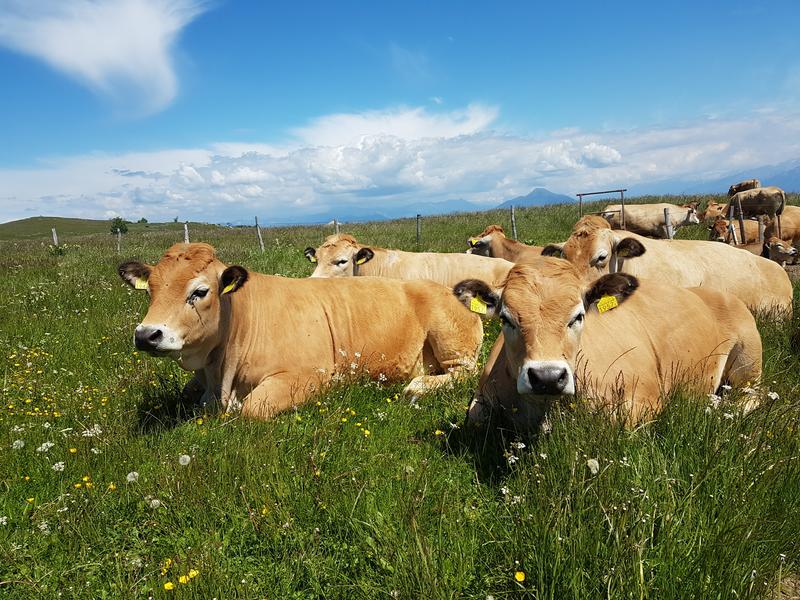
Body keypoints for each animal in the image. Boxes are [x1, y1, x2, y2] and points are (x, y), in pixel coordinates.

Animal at [118, 243, 483, 419]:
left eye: (200, 291)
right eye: (151, 290)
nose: (147, 335)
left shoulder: (308, 376)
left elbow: (253, 409)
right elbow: (186, 395)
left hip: (452, 344)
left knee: (462, 373)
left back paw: (418, 386)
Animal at [453, 258, 762, 432]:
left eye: (578, 316)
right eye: (506, 318)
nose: (547, 377)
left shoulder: (646, 398)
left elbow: (615, 423)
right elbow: (476, 418)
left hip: (749, 363)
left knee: (751, 397)